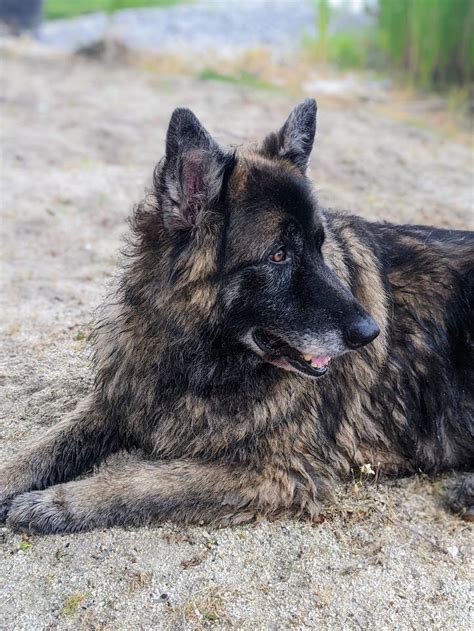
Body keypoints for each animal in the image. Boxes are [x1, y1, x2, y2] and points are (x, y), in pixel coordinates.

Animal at [0, 100, 474, 532]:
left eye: (320, 246)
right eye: (279, 255)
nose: (371, 333)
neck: (201, 359)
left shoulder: (276, 473)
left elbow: (141, 481)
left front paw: (55, 504)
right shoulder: (121, 396)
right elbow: (48, 443)